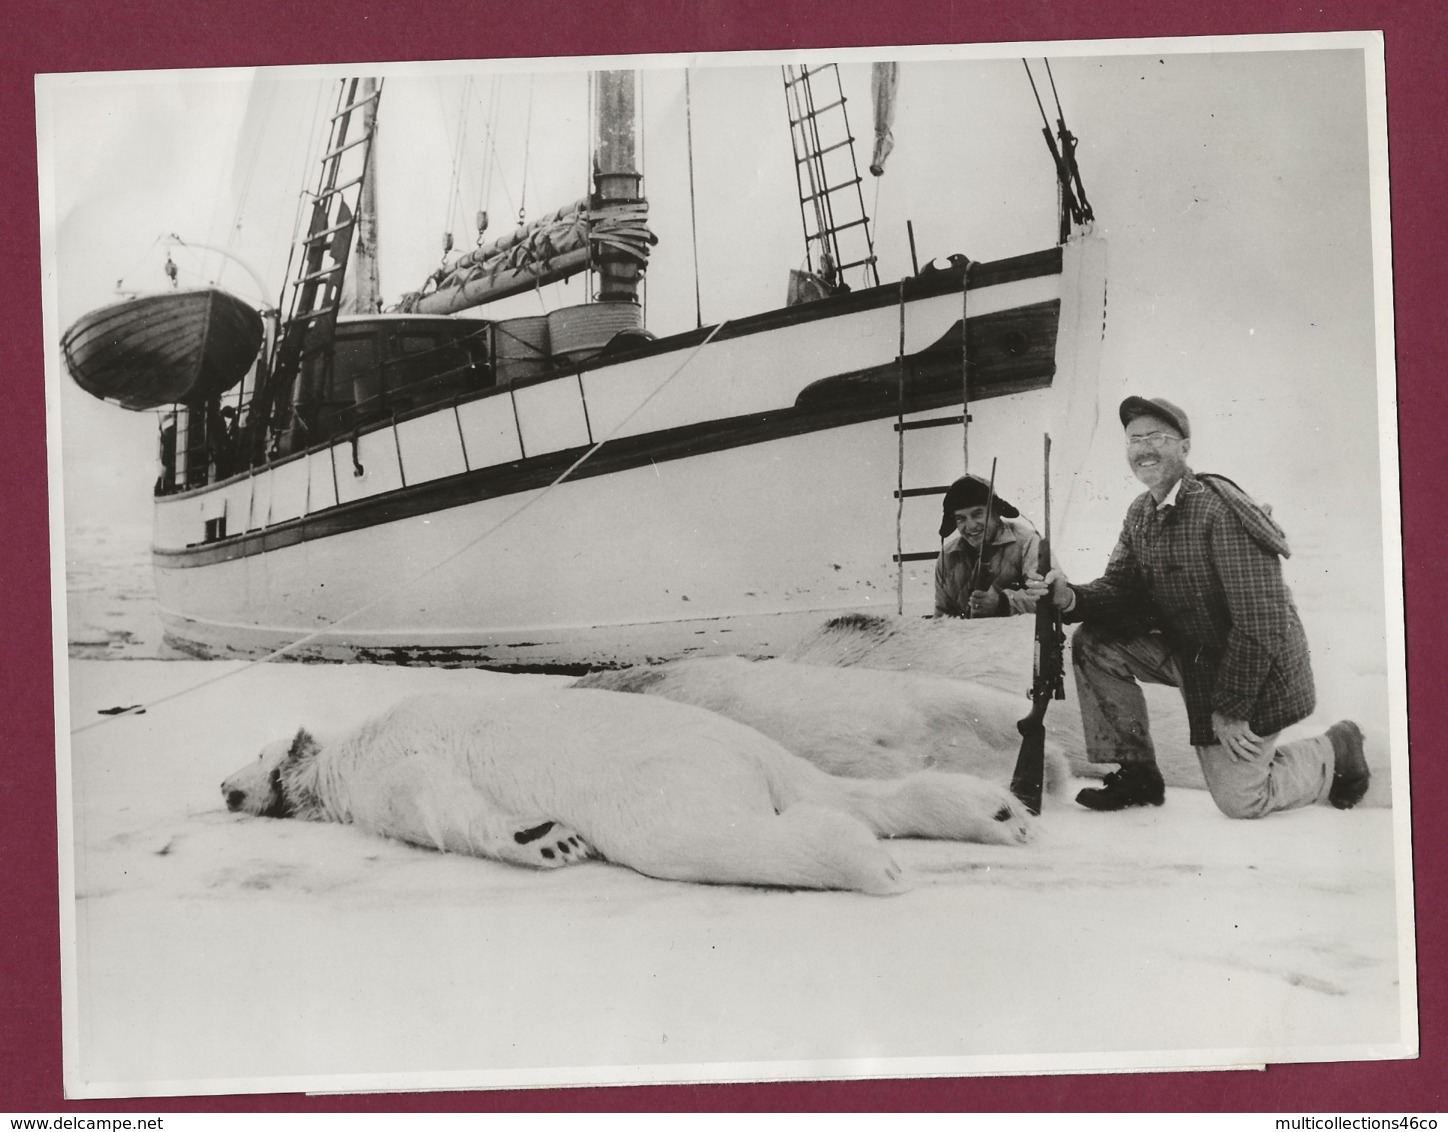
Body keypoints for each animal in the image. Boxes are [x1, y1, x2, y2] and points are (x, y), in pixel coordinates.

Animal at [220, 691, 1036, 897]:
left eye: (252, 754)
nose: (222, 787)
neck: (348, 750)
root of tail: (745, 754)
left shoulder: (392, 764)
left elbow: (433, 801)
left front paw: (546, 838)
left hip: (664, 784)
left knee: (702, 838)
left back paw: (869, 863)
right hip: (760, 750)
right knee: (847, 793)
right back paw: (1000, 813)